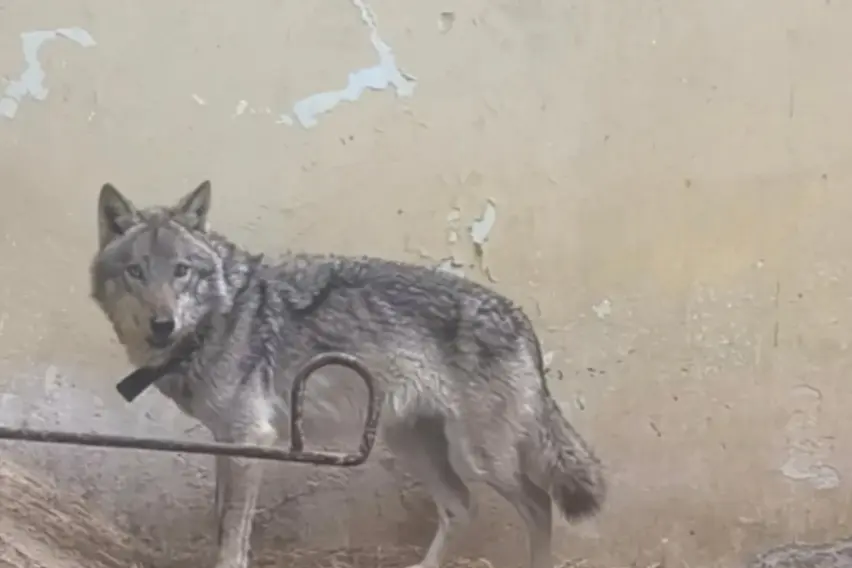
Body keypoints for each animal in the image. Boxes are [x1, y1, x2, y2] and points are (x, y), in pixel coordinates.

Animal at [89, 181, 606, 568]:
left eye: (181, 271)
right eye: (136, 272)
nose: (162, 324)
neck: (220, 317)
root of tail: (519, 317)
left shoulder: (251, 439)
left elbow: (233, 534)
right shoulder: (226, 442)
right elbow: (220, 521)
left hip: (481, 458)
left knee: (538, 506)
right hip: (411, 444)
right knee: (461, 506)